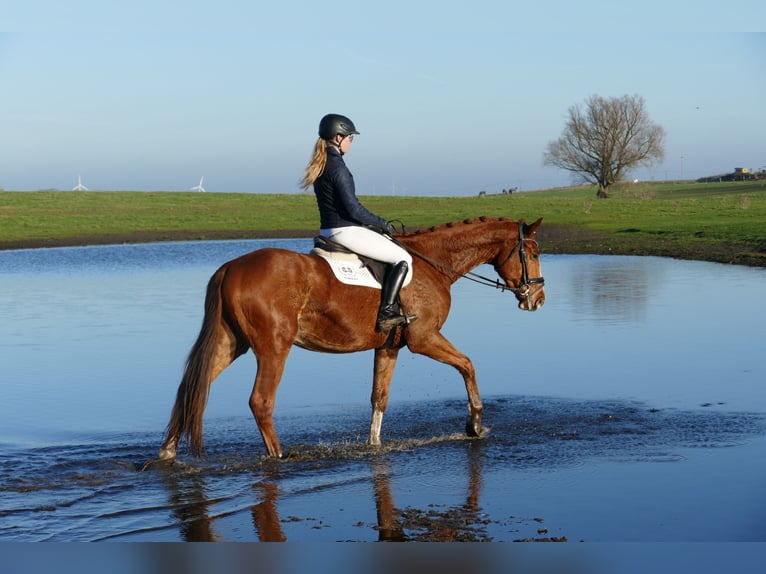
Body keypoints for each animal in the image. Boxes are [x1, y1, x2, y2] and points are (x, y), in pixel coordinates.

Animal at [155, 216, 545, 461]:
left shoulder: (389, 346)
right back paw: (279, 456)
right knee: (260, 402)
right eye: (534, 252)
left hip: (231, 343)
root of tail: (230, 268)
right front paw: (475, 424)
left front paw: (374, 446)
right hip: (273, 347)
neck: (433, 264)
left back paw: (167, 452)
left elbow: (379, 398)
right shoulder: (424, 338)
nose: (538, 299)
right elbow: (468, 364)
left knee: (192, 387)